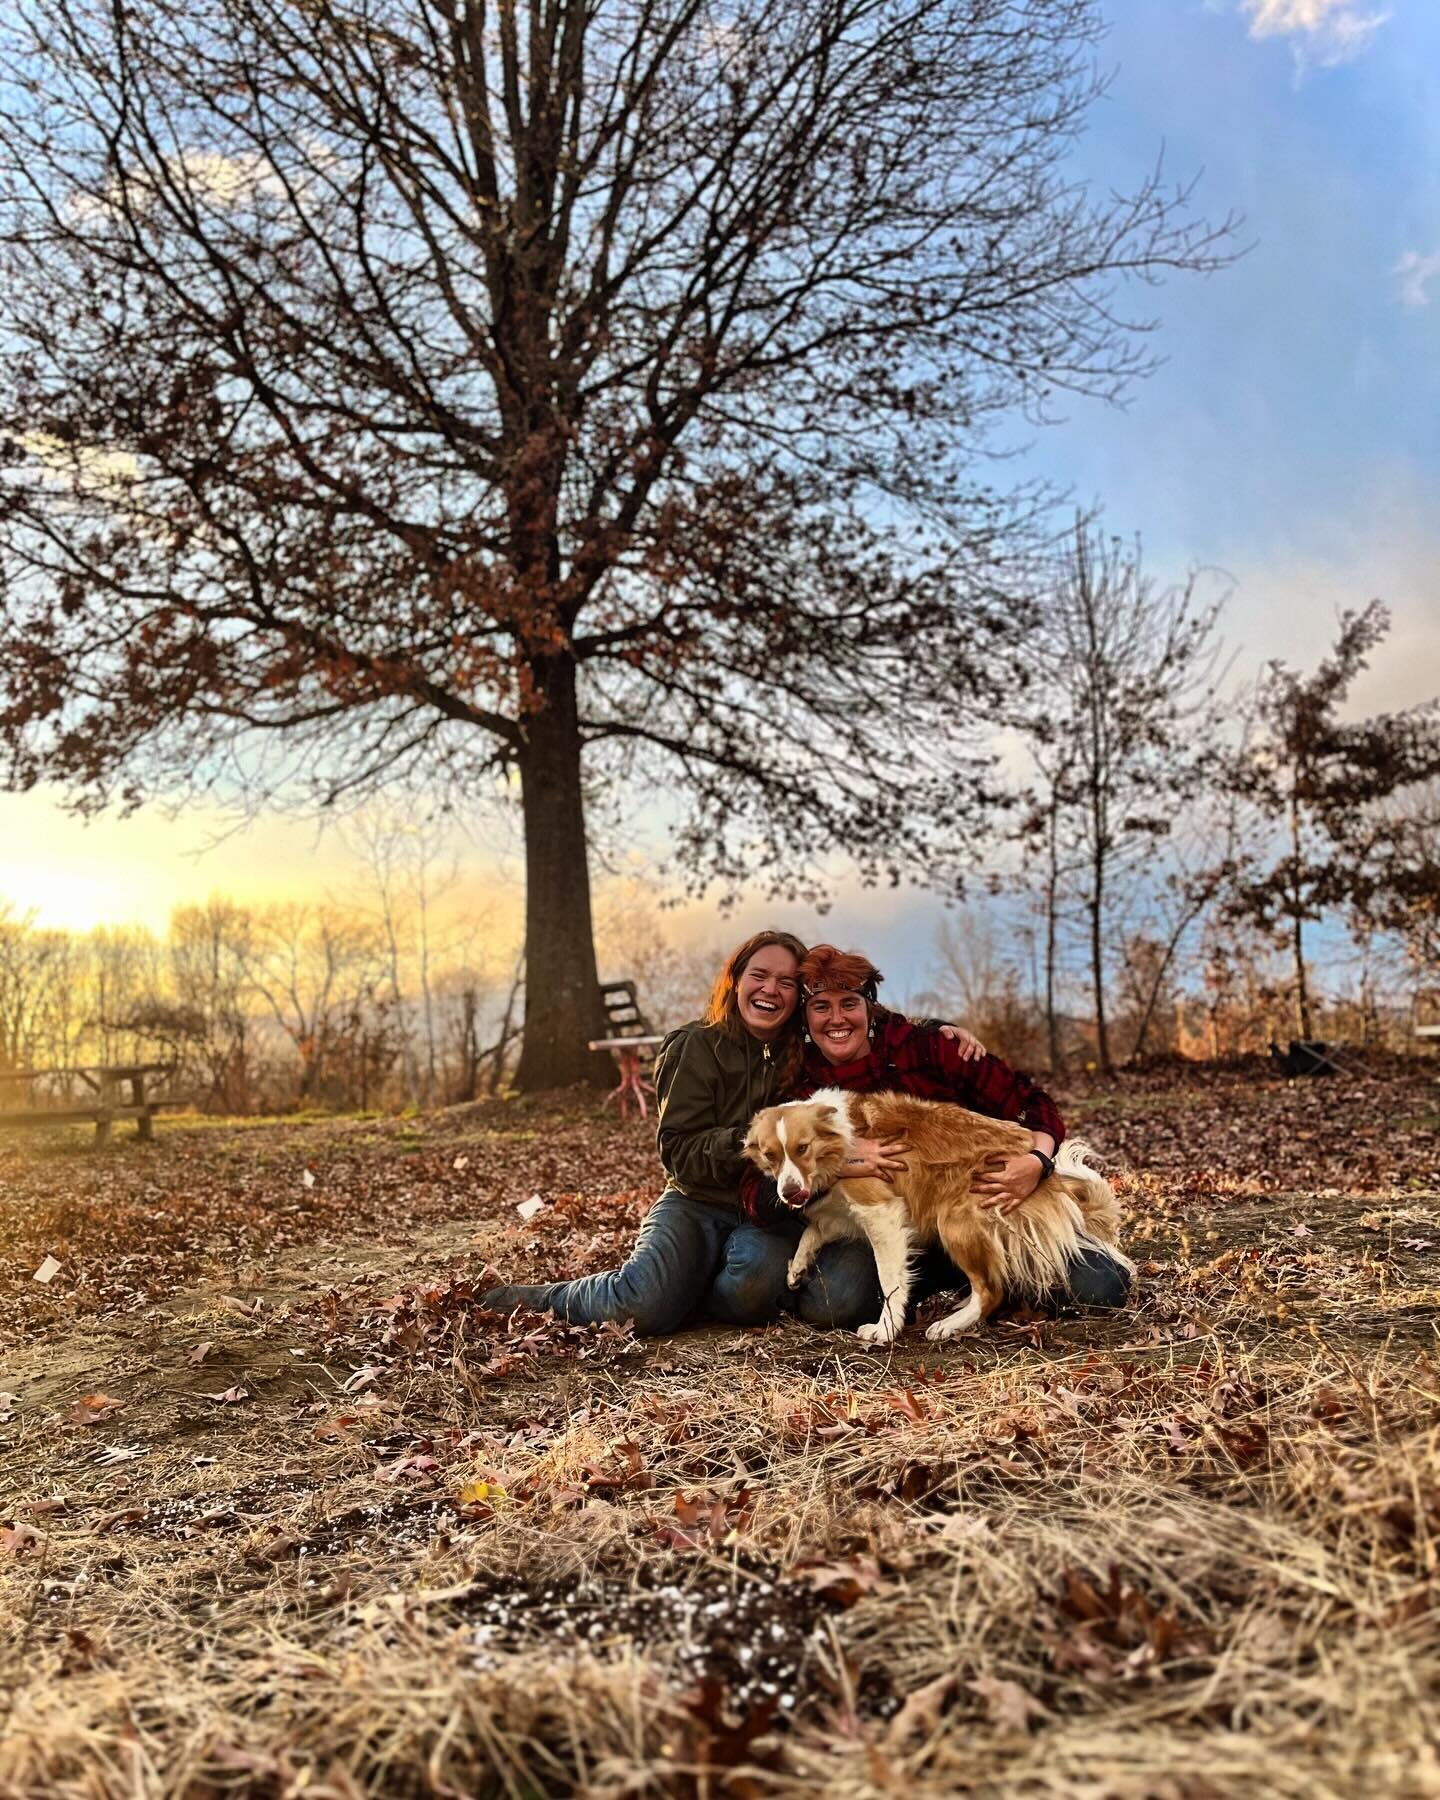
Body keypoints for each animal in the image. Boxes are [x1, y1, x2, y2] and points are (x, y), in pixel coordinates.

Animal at [748, 1080, 1130, 1339]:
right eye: (770, 1155)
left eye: (802, 1148)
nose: (789, 1192)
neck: (838, 1138)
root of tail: (1045, 1174)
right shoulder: (845, 1212)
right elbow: (813, 1231)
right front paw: (797, 1267)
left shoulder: (881, 1213)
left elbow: (890, 1281)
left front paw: (886, 1329)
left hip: (955, 1220)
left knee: (991, 1290)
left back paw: (949, 1324)